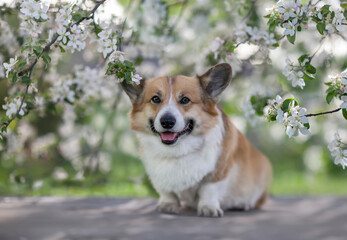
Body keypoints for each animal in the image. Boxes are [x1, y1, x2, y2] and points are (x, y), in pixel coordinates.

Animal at [121, 62, 274, 217]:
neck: (176, 151)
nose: (167, 122)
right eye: (155, 99)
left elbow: (208, 190)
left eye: (185, 100)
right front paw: (168, 205)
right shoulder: (158, 177)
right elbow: (166, 192)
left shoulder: (218, 172)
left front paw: (208, 208)